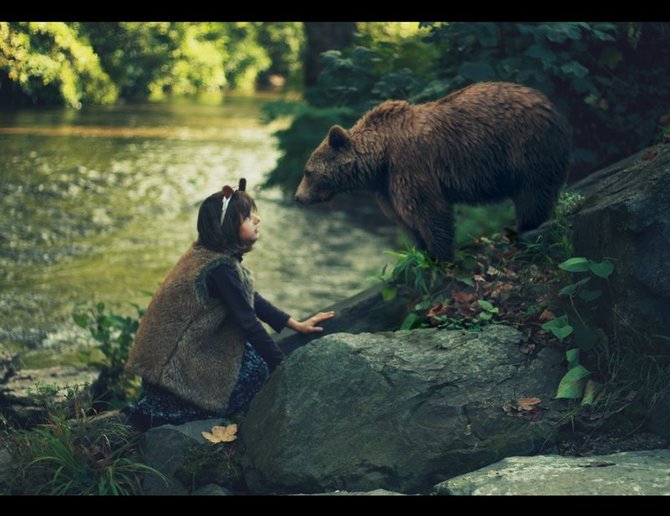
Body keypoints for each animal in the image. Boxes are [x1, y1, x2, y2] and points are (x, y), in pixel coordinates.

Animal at [296, 81, 572, 262]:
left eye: (308, 171)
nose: (298, 197)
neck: (379, 159)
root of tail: (551, 105)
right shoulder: (385, 187)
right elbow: (404, 218)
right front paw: (421, 253)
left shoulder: (409, 164)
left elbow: (427, 210)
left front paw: (441, 257)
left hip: (524, 146)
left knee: (532, 192)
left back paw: (525, 227)